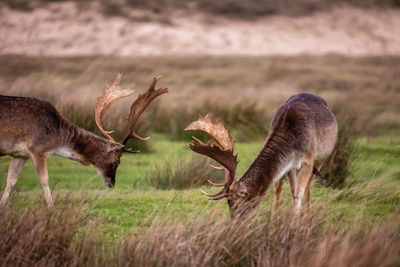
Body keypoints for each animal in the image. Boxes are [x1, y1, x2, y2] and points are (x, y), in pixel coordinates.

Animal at [0, 74, 167, 208]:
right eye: (116, 161)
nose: (112, 183)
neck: (55, 137)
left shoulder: (20, 154)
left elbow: (11, 180)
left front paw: (3, 205)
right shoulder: (36, 149)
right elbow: (44, 178)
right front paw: (51, 206)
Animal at [184, 93, 338, 219]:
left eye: (235, 202)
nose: (235, 223)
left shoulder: (308, 158)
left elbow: (298, 193)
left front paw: (296, 223)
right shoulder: (290, 166)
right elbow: (289, 191)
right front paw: (275, 222)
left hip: (322, 158)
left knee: (308, 186)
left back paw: (307, 215)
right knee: (279, 188)